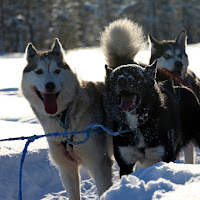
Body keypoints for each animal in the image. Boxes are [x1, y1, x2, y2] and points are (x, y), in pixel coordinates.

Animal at [22, 38, 113, 199]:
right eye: (38, 71)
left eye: (57, 71)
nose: (50, 85)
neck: (65, 117)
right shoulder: (66, 169)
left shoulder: (99, 164)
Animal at [101, 18, 200, 175]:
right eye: (116, 77)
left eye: (136, 76)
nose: (122, 80)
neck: (138, 122)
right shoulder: (125, 164)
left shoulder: (164, 157)